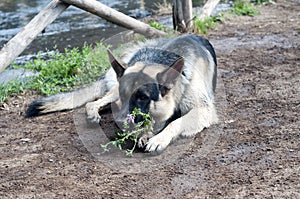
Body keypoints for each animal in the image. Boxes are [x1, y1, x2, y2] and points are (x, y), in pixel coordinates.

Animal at [26, 34, 218, 153]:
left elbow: (174, 123)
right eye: (126, 95)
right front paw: (146, 134)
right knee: (94, 102)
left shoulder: (203, 110)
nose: (119, 124)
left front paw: (158, 139)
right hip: (113, 93)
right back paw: (93, 113)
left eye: (142, 98)